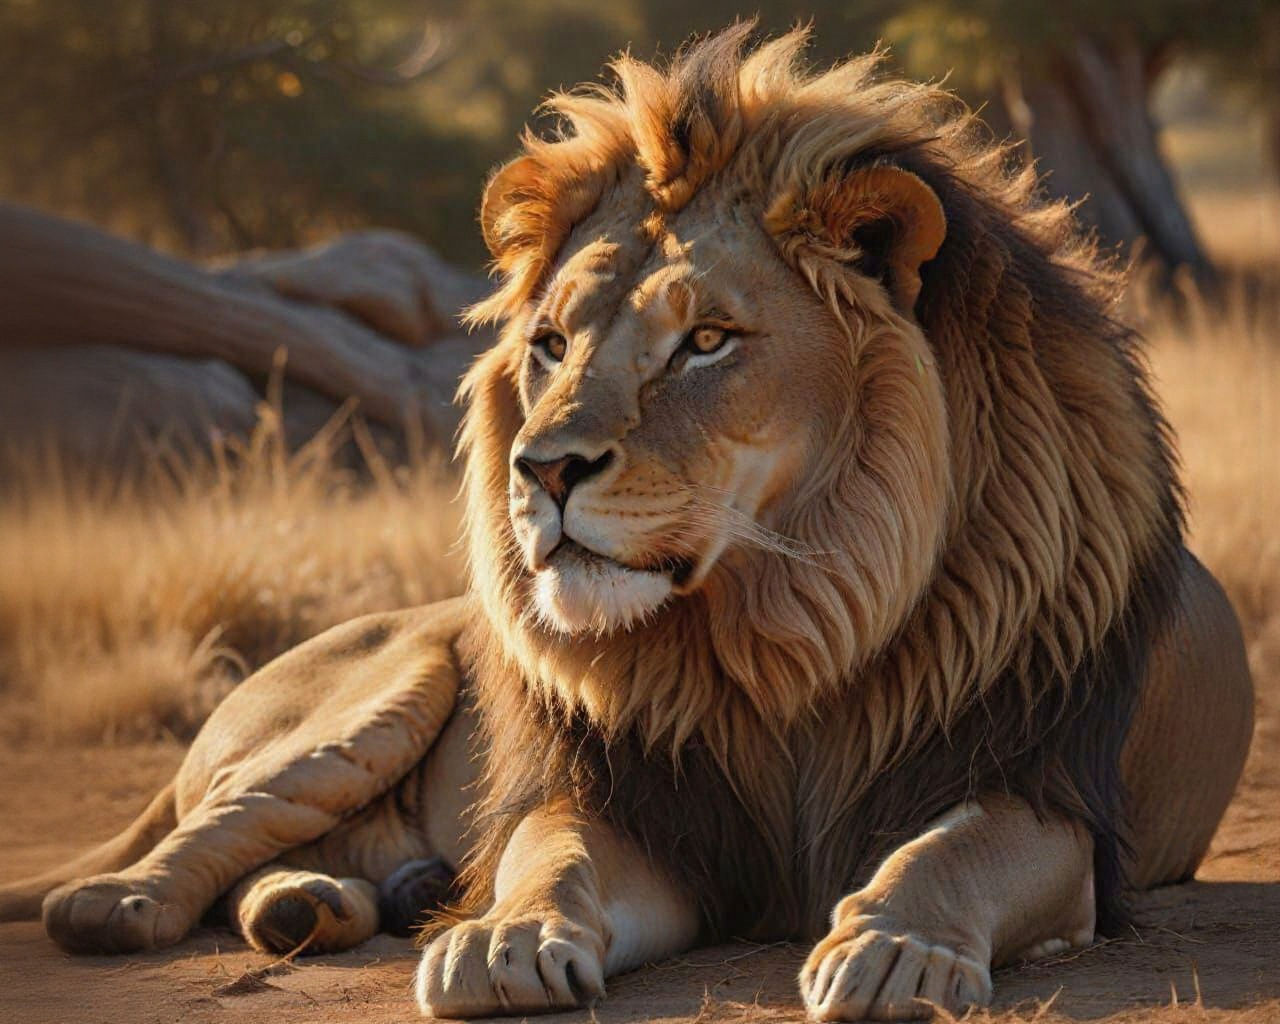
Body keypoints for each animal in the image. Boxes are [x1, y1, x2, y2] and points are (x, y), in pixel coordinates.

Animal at [0, 25, 1254, 1022]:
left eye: (703, 341)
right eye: (551, 343)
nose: (540, 468)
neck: (786, 626)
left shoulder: (1045, 792)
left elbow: (952, 851)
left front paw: (894, 948)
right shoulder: (648, 807)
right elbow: (551, 857)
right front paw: (501, 938)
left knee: (278, 869)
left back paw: (326, 904)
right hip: (377, 692)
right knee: (188, 845)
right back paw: (132, 898)